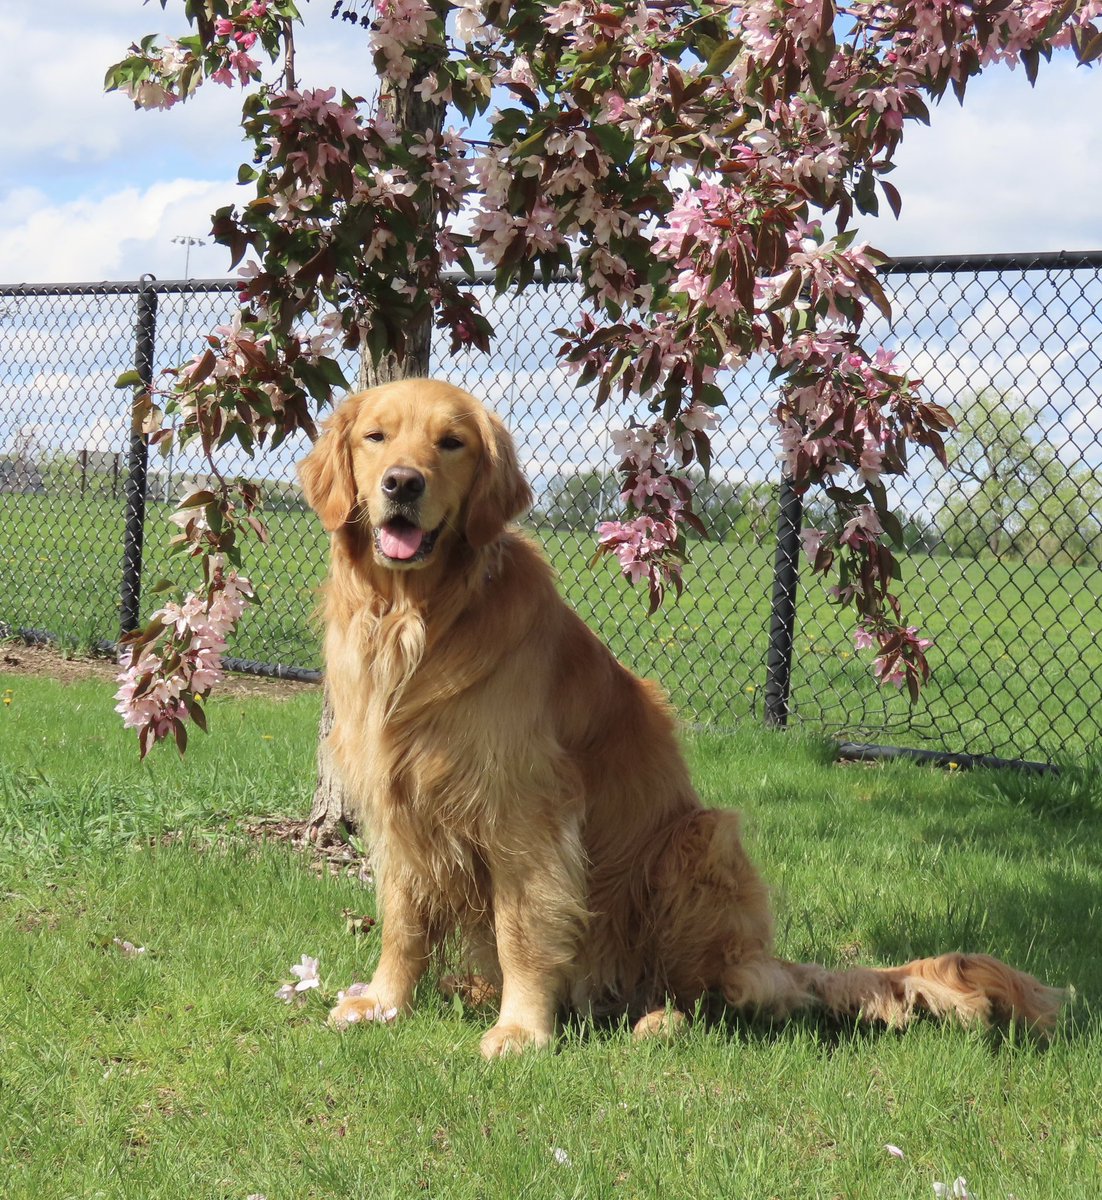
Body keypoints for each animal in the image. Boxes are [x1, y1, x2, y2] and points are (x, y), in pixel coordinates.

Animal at [297, 376, 1065, 1060]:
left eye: (450, 443)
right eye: (375, 437)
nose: (402, 484)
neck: (419, 619)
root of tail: (765, 956)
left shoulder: (526, 809)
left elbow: (525, 929)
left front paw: (522, 1031)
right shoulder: (396, 804)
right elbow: (402, 920)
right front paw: (383, 1001)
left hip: (696, 843)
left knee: (699, 991)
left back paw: (658, 1020)